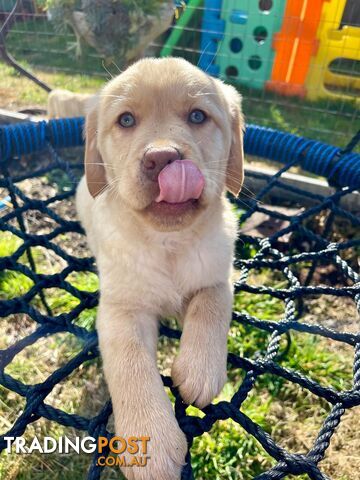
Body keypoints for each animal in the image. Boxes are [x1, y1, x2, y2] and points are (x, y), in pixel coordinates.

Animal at [76, 57, 245, 480]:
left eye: (198, 116)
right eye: (126, 120)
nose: (163, 158)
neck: (169, 243)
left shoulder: (220, 276)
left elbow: (212, 304)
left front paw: (199, 370)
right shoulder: (121, 309)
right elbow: (130, 362)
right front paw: (150, 441)